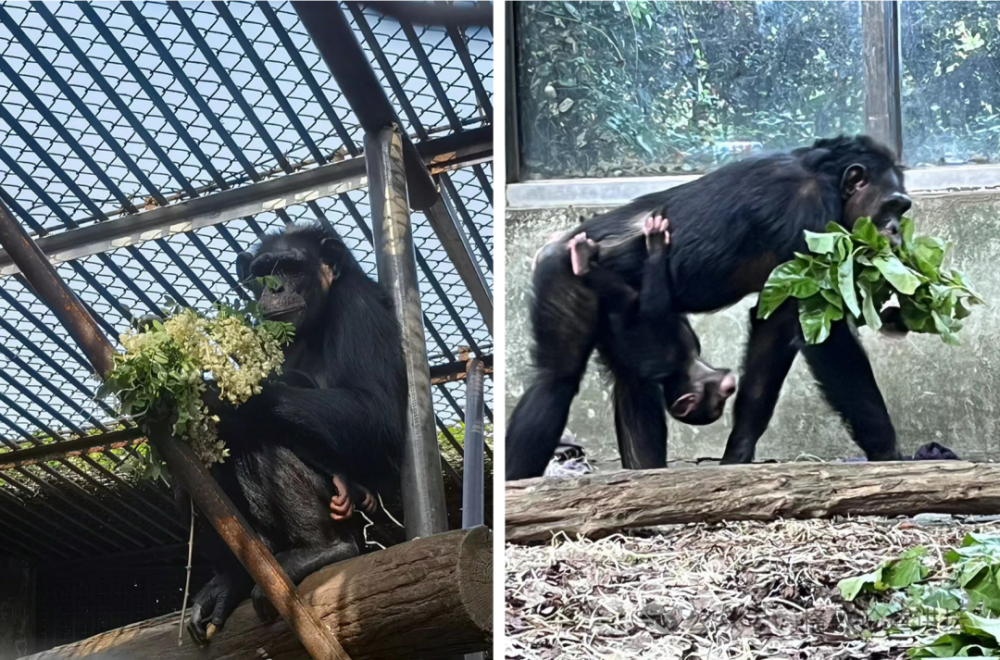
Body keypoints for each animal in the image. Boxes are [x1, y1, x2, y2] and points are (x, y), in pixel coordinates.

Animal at [184, 223, 406, 644]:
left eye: (291, 267)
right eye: (263, 271)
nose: (274, 288)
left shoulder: (360, 308)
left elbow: (377, 413)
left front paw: (225, 396)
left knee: (262, 439)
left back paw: (323, 547)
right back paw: (229, 581)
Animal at [508, 134, 916, 480]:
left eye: (901, 209)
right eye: (891, 206)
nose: (896, 229)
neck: (829, 182)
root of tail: (556, 244)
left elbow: (774, 332)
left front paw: (737, 454)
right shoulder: (809, 218)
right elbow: (826, 338)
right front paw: (888, 454)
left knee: (632, 381)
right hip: (562, 276)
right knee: (555, 379)